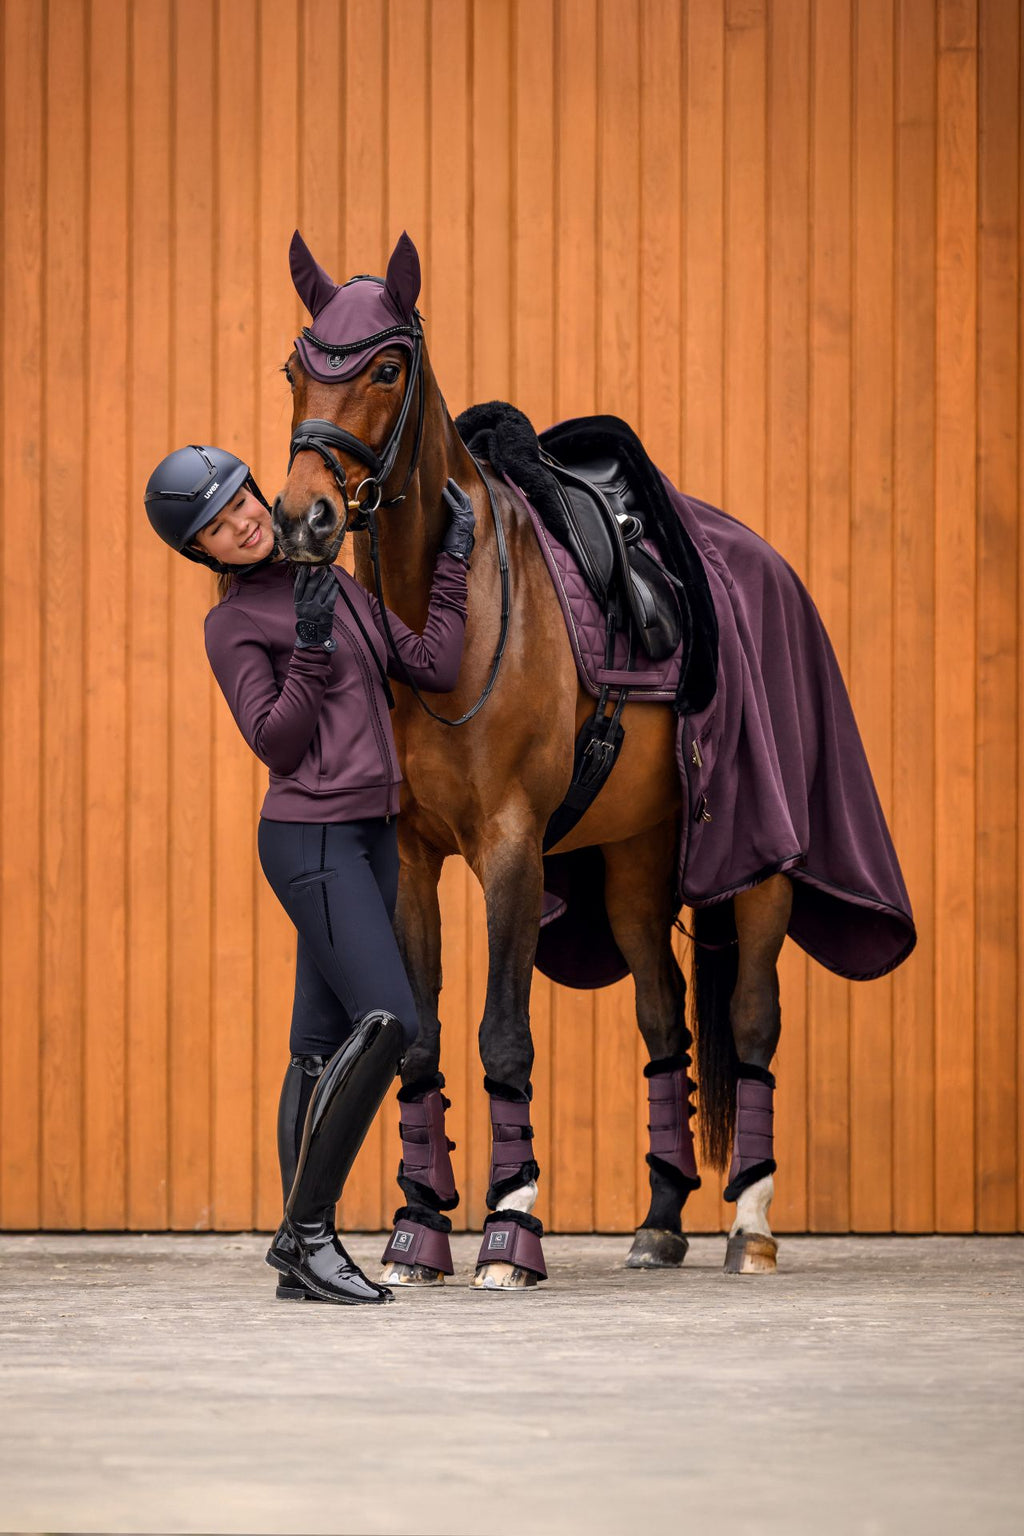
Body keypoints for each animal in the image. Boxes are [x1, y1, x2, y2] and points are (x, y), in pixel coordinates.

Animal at [271, 230, 914, 1289]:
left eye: (387, 367)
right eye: (296, 369)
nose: (303, 519)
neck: (451, 616)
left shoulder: (511, 849)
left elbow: (502, 1033)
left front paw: (510, 1228)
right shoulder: (411, 857)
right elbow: (418, 1038)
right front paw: (418, 1231)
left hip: (764, 868)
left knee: (751, 1021)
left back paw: (749, 1226)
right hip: (635, 864)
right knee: (664, 1024)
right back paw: (658, 1222)